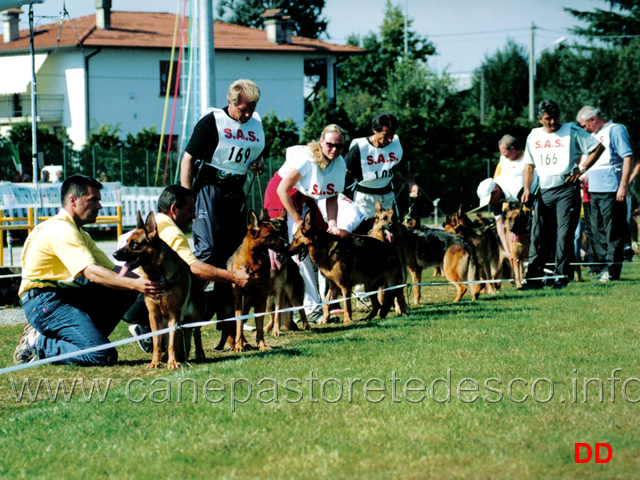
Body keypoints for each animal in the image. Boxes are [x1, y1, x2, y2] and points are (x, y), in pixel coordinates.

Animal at [114, 209, 205, 368]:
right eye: (126, 242)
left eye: (134, 244)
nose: (114, 254)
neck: (158, 274)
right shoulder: (154, 315)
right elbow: (157, 342)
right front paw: (155, 362)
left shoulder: (174, 314)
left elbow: (172, 343)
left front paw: (172, 362)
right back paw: (166, 357)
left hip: (194, 315)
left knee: (196, 332)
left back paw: (198, 353)